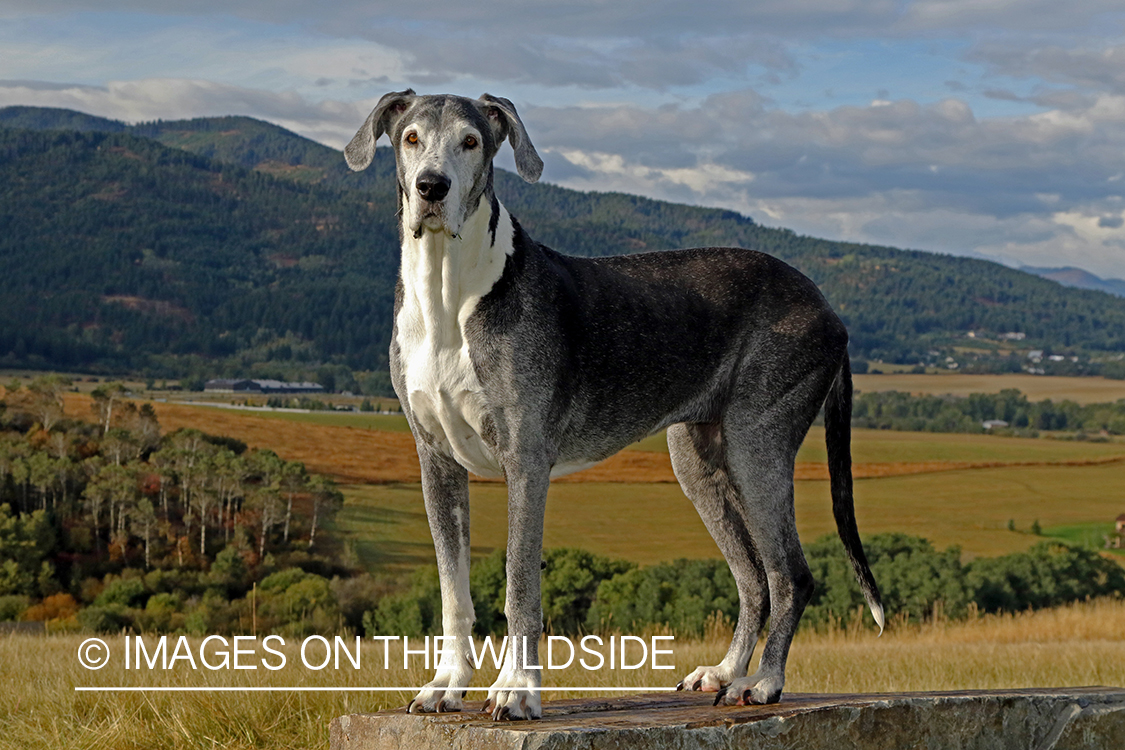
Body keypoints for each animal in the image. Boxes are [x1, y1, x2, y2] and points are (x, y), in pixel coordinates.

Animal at [346, 89, 882, 719]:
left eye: (471, 141)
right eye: (410, 138)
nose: (432, 187)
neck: (449, 290)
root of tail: (827, 307)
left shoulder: (525, 462)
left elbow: (520, 582)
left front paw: (516, 690)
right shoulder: (436, 461)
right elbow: (453, 590)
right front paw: (447, 684)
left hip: (759, 448)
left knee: (790, 574)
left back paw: (765, 682)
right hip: (698, 462)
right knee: (753, 577)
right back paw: (724, 672)